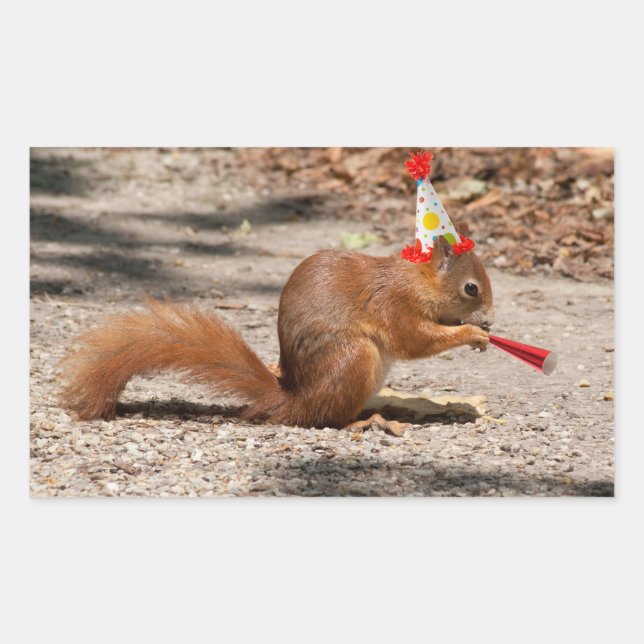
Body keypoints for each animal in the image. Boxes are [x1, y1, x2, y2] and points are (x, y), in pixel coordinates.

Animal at [59, 222, 494, 435]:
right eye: (471, 288)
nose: (490, 318)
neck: (418, 279)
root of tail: (294, 399)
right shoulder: (395, 304)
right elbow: (414, 340)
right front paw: (474, 335)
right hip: (355, 359)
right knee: (324, 419)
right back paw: (365, 421)